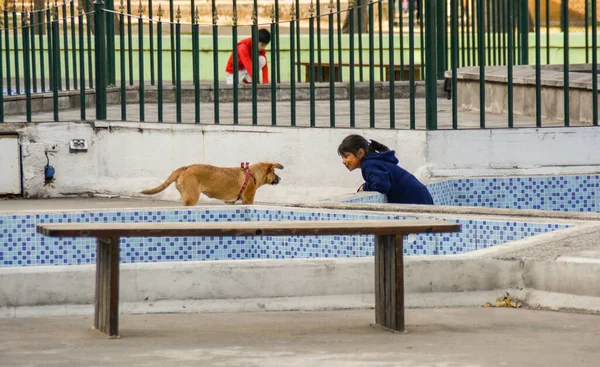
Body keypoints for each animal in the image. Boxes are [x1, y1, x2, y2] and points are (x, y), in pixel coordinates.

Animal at [141, 162, 284, 206]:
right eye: (274, 172)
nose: (280, 178)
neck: (252, 174)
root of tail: (185, 168)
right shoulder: (248, 200)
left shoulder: (230, 203)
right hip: (191, 198)